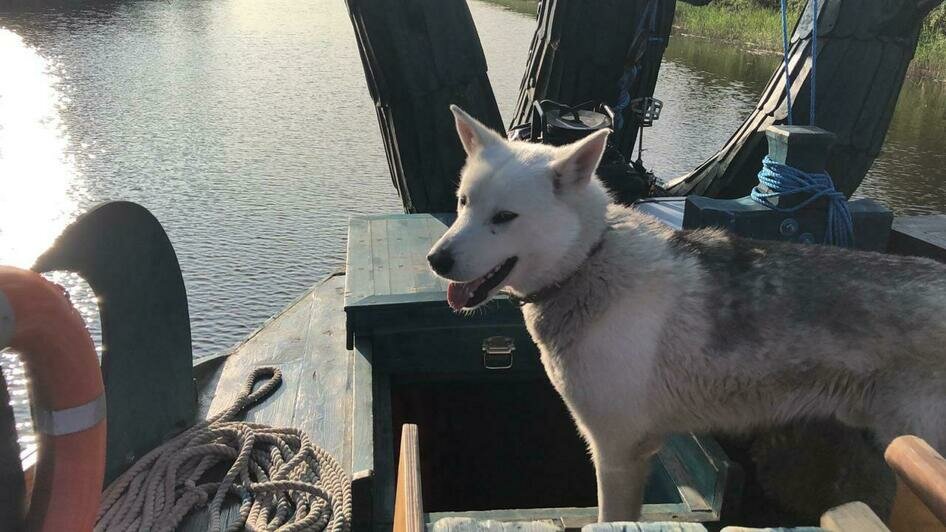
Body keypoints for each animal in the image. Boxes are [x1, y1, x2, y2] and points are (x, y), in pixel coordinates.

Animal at [426, 105, 944, 524]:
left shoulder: (616, 455)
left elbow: (610, 516)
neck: (588, 263)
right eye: (463, 203)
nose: (436, 260)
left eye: (505, 217)